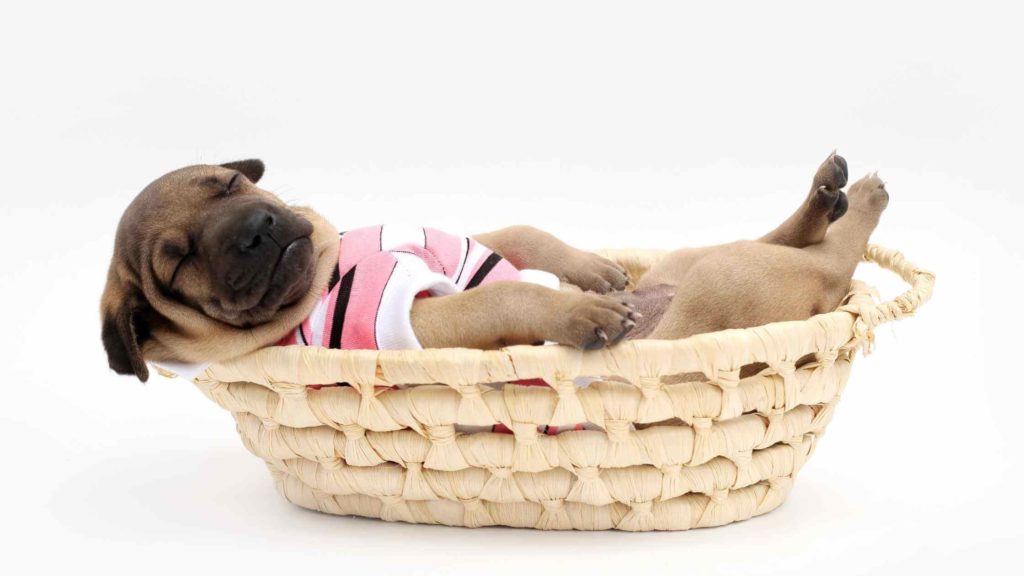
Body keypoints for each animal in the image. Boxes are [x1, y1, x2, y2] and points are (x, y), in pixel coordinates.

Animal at [101, 151, 888, 381]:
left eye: (231, 186)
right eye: (177, 265)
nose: (257, 229)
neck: (325, 269)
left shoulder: (474, 239)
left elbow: (521, 235)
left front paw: (591, 272)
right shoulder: (408, 319)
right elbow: (504, 300)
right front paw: (581, 309)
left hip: (697, 261)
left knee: (792, 237)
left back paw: (830, 194)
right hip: (730, 276)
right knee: (829, 258)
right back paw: (863, 199)